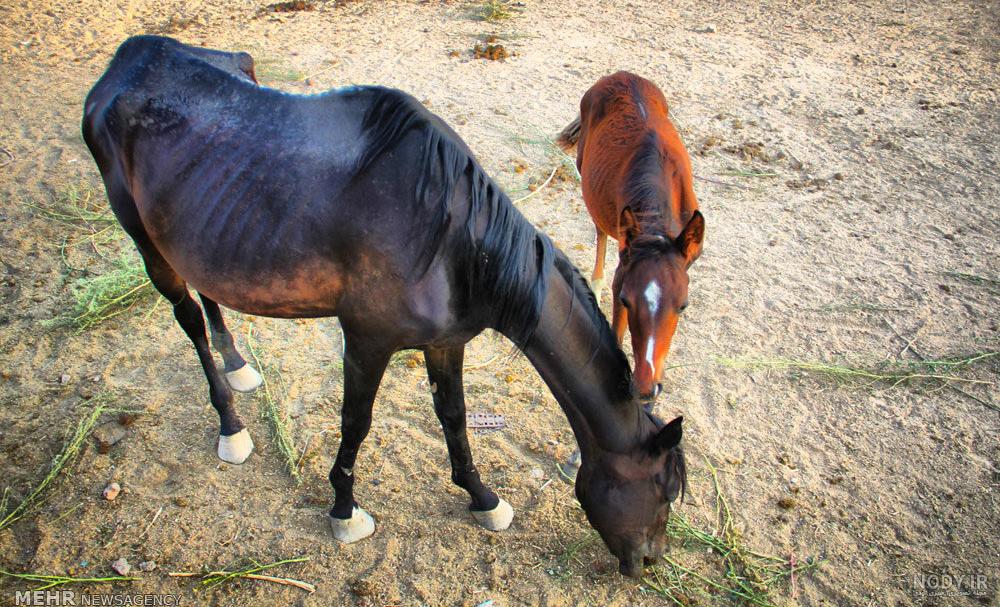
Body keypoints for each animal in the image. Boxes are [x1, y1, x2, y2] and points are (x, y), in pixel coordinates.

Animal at [82, 37, 686, 577]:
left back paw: (238, 364)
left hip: (197, 235)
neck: (452, 238)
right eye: (663, 488)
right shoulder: (367, 340)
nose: (650, 561)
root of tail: (130, 59)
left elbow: (454, 418)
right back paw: (230, 423)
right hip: (146, 241)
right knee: (188, 319)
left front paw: (483, 498)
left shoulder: (446, 343)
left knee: (210, 294)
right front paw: (344, 510)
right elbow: (356, 422)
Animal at [558, 71, 705, 403]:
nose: (646, 389)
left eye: (683, 305)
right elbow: (616, 330)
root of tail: (621, 74)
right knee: (599, 229)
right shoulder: (623, 268)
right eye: (626, 300)